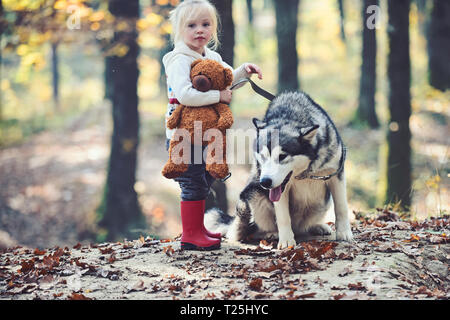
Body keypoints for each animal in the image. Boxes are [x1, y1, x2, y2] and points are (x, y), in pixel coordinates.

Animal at [206, 91, 354, 249]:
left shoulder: (336, 174)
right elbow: (283, 217)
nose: (265, 182)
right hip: (251, 195)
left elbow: (341, 207)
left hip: (322, 203)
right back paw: (271, 234)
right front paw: (286, 241)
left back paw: (317, 226)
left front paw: (344, 233)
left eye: (282, 156)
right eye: (263, 156)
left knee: (303, 227)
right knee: (250, 232)